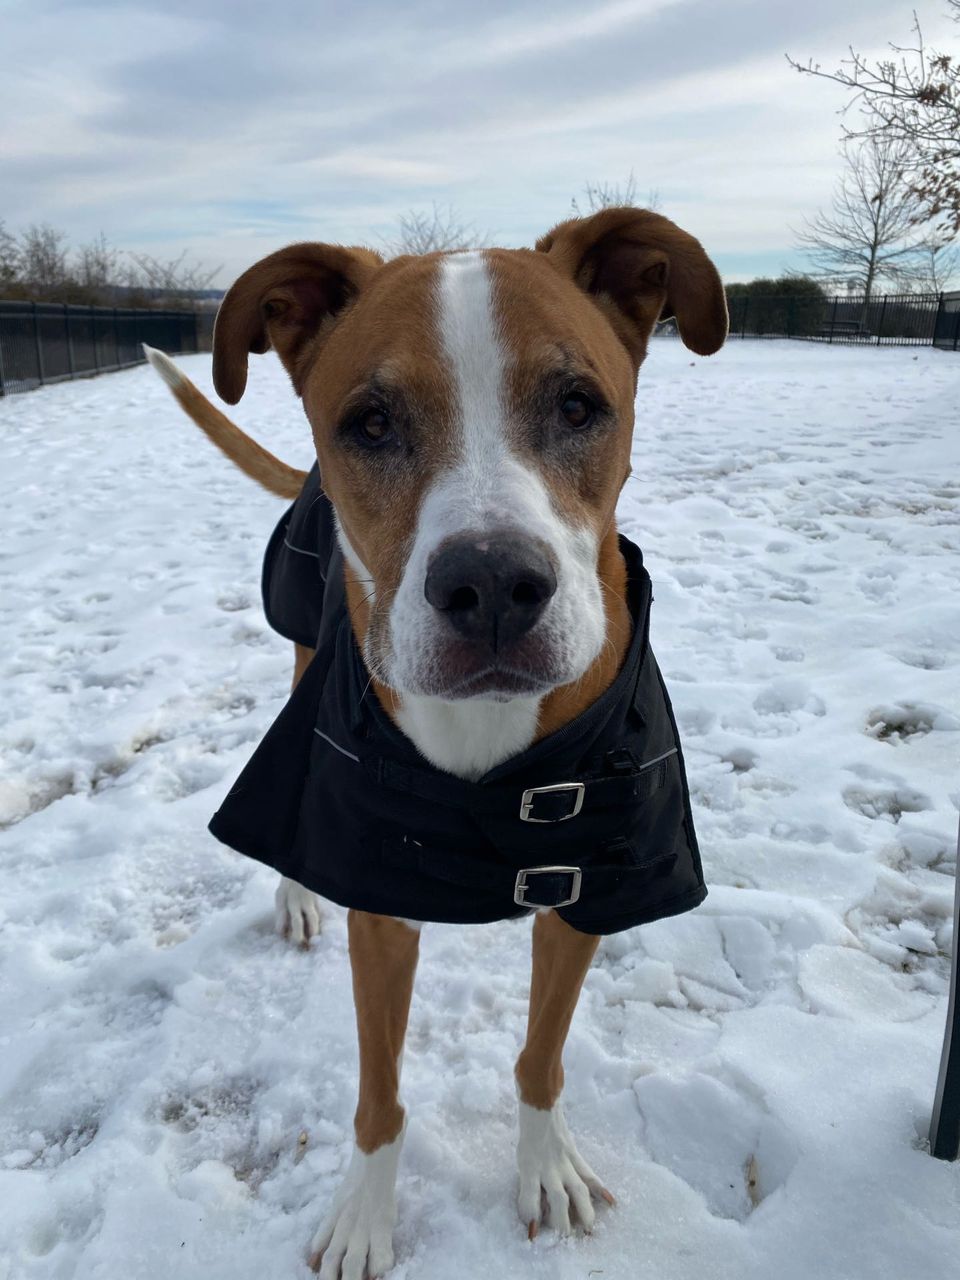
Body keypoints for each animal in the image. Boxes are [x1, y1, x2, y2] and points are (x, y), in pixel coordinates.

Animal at [146, 206, 727, 1279]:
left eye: (579, 405)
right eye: (370, 424)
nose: (492, 583)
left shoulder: (581, 890)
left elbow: (542, 1054)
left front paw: (546, 1169)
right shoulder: (380, 902)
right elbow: (379, 1091)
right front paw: (366, 1215)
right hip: (303, 654)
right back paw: (296, 894)